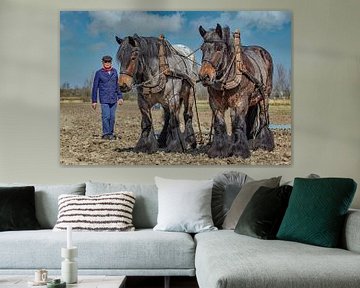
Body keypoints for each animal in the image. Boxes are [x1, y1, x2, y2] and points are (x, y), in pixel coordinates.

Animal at [198, 23, 274, 159]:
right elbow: (220, 124)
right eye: (202, 48)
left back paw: (264, 144)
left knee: (263, 117)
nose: (204, 76)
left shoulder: (241, 101)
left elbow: (238, 123)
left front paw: (239, 151)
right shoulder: (215, 103)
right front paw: (219, 150)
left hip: (264, 95)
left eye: (219, 48)